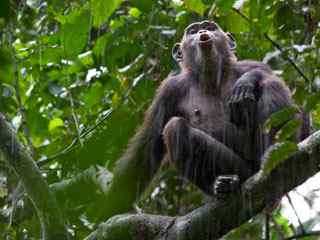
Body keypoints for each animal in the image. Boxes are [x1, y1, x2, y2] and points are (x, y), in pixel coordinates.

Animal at [114, 20, 298, 197]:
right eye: (193, 31)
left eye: (210, 27)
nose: (203, 32)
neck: (211, 76)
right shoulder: (168, 91)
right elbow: (145, 152)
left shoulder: (250, 64)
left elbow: (266, 74)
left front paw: (247, 80)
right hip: (239, 169)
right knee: (175, 128)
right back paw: (222, 186)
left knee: (271, 84)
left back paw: (276, 152)